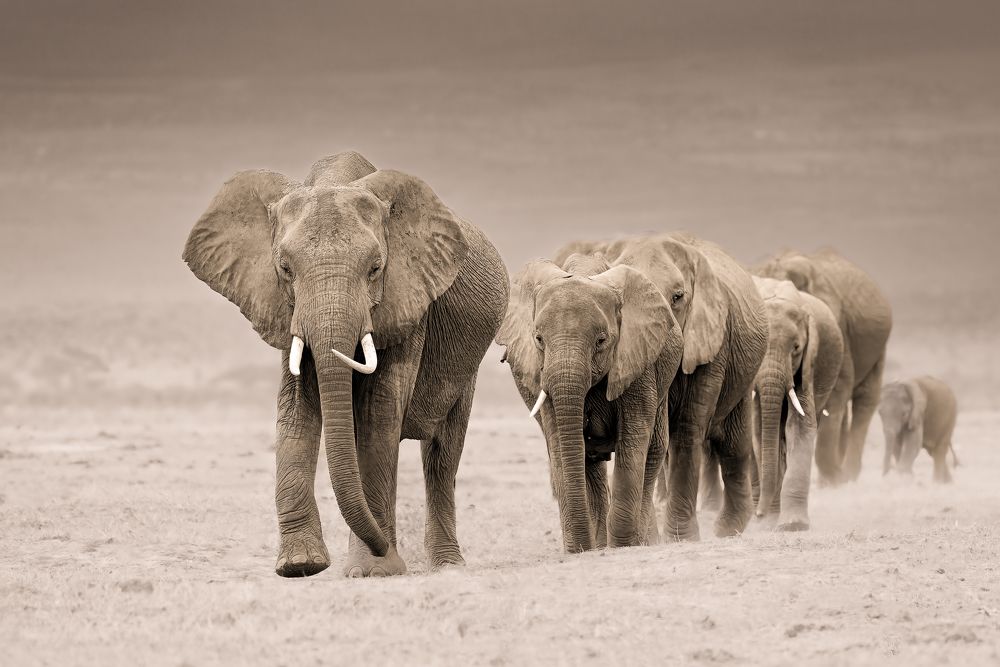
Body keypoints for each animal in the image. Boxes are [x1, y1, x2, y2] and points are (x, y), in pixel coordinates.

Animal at [182, 151, 509, 577]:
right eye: (285, 269)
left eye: (375, 269)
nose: (387, 550)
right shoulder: (286, 310)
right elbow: (295, 409)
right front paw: (300, 566)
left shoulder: (407, 299)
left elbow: (377, 413)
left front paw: (374, 570)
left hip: (466, 367)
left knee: (442, 456)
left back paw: (447, 566)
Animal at [497, 252, 684, 551]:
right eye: (538, 339)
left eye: (601, 341)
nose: (579, 548)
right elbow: (560, 442)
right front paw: (580, 549)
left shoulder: (636, 358)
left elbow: (634, 438)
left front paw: (622, 546)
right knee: (589, 461)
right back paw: (600, 542)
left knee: (653, 450)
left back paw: (639, 541)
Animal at [545, 233, 768, 543]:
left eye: (678, 297)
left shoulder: (714, 342)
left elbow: (688, 428)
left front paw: (681, 538)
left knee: (733, 443)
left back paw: (727, 530)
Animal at [750, 277, 843, 530]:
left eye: (796, 348)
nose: (760, 514)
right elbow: (758, 432)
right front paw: (769, 522)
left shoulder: (808, 364)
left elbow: (799, 427)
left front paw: (792, 526)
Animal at [756, 249, 892, 484]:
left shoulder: (838, 330)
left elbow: (838, 391)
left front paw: (834, 482)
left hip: (876, 347)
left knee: (865, 400)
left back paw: (848, 476)